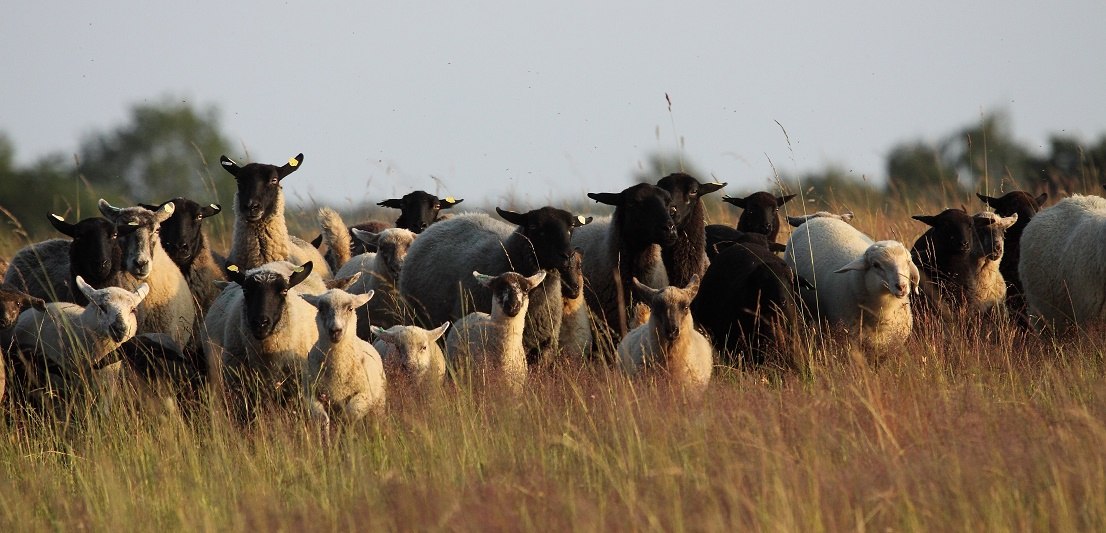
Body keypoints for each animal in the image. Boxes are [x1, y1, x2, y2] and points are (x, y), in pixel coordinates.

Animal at [301, 283, 385, 432]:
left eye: (350, 308)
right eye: (321, 309)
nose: (335, 331)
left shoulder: (364, 395)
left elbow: (349, 416)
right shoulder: (311, 395)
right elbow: (323, 420)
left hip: (379, 402)